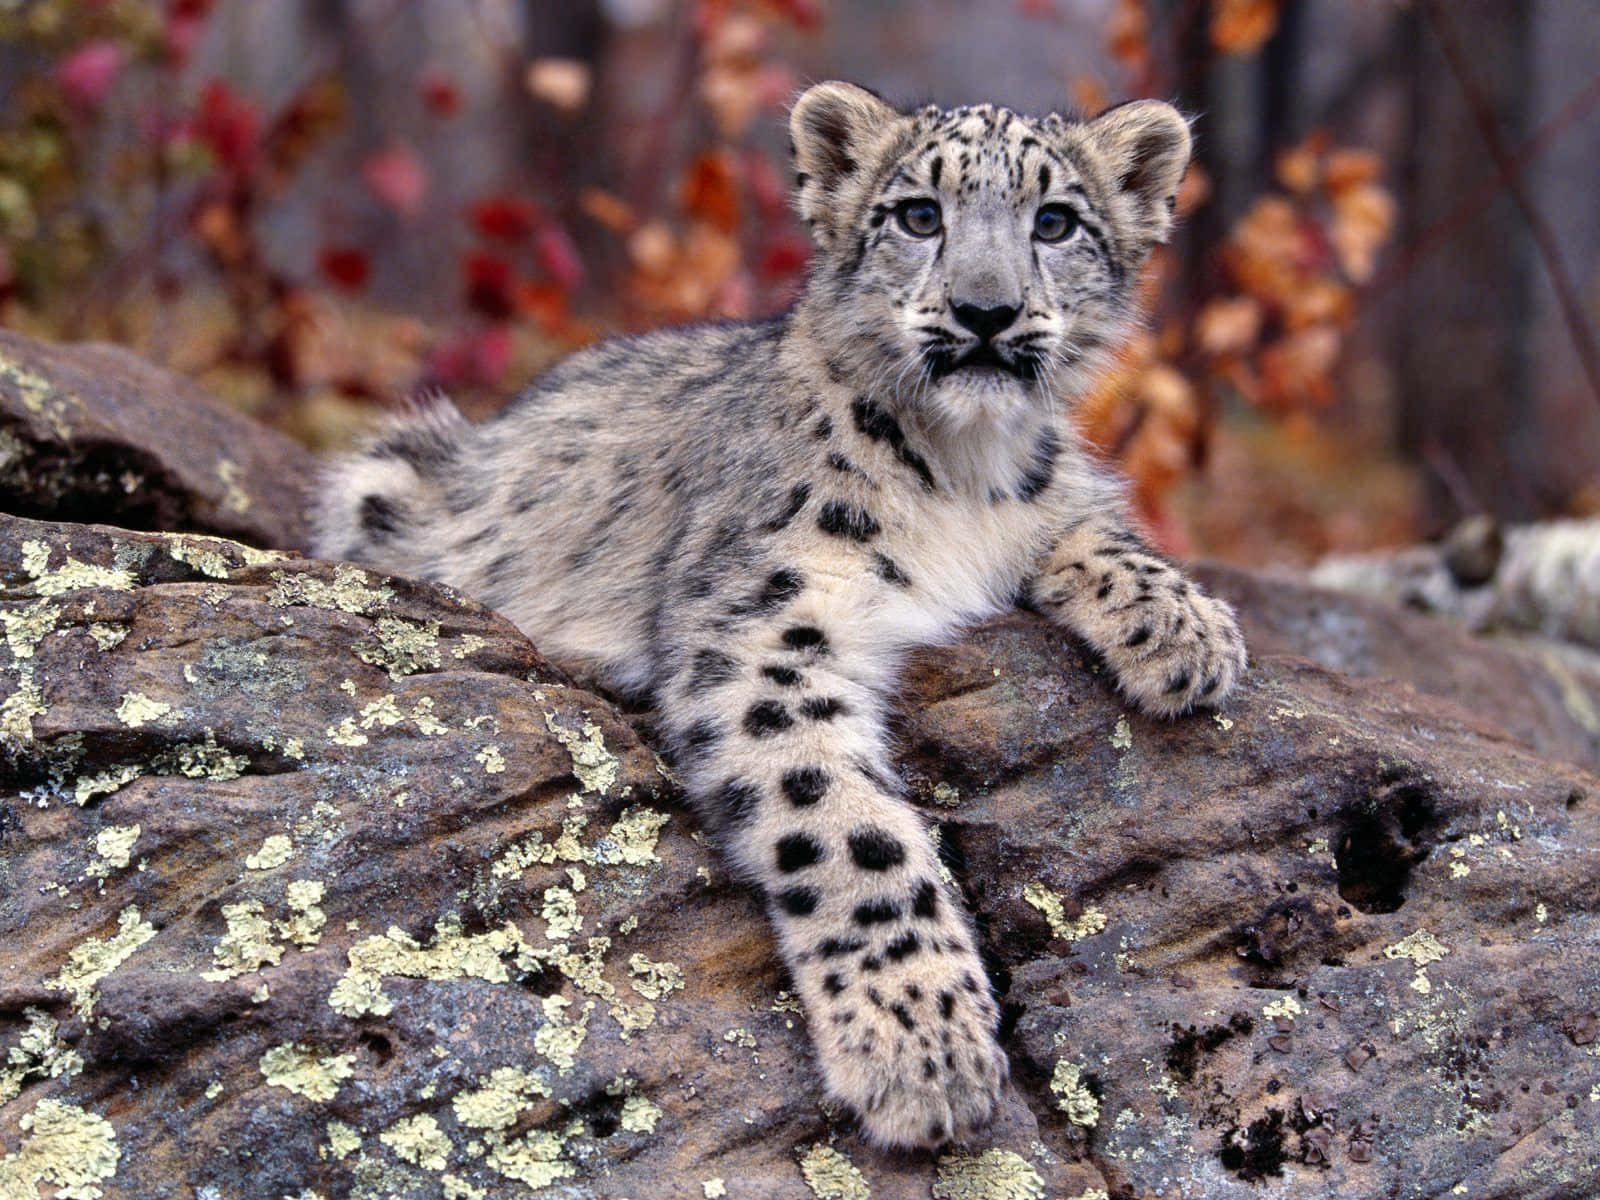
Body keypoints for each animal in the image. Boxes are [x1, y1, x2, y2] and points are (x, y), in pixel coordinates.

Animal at [305, 80, 1241, 1152]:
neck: (963, 473)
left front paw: (1189, 632)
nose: (986, 310)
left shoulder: (1049, 498)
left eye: (1055, 222)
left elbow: (1091, 519)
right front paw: (923, 1044)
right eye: (918, 215)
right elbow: (848, 829)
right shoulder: (764, 628)